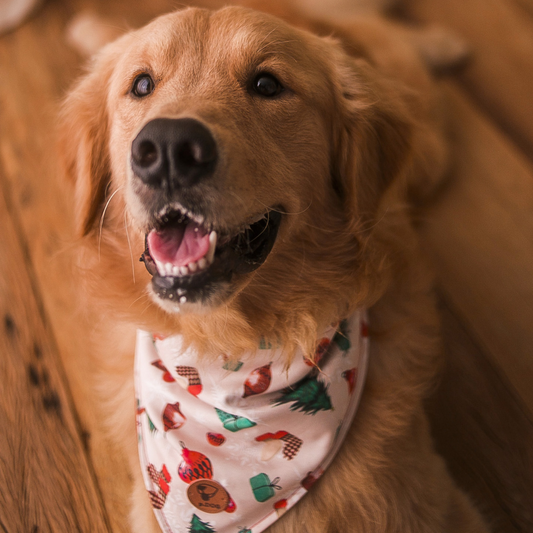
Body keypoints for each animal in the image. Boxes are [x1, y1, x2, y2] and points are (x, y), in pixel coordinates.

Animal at [60, 2, 488, 528]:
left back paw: (444, 43)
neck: (229, 351)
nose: (168, 149)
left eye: (267, 84)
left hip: (429, 151)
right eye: (141, 85)